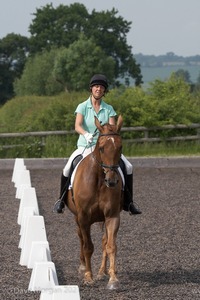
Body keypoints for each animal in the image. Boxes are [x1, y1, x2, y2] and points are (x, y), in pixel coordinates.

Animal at [66, 116, 123, 290]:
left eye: (120, 147)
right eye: (102, 148)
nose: (111, 181)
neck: (99, 180)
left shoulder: (112, 216)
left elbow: (111, 246)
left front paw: (113, 279)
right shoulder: (84, 218)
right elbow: (88, 247)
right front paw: (88, 277)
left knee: (104, 241)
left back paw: (102, 272)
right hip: (77, 217)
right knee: (81, 238)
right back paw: (83, 267)